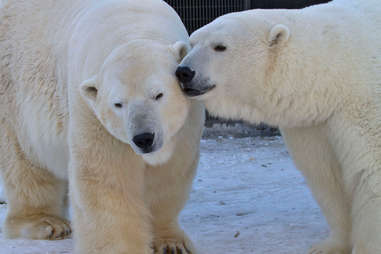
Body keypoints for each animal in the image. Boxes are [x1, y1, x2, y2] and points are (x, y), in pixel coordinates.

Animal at [0, 0, 205, 253]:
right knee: (24, 161)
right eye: (118, 104)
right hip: (12, 91)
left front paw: (171, 243)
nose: (143, 138)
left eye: (158, 94)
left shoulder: (187, 118)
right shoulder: (91, 110)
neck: (133, 26)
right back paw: (47, 223)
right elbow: (105, 177)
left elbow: (170, 172)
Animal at [177, 0, 380, 253]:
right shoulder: (313, 122)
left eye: (220, 46)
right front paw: (329, 245)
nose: (184, 72)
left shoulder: (362, 104)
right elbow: (326, 176)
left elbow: (371, 171)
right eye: (193, 42)